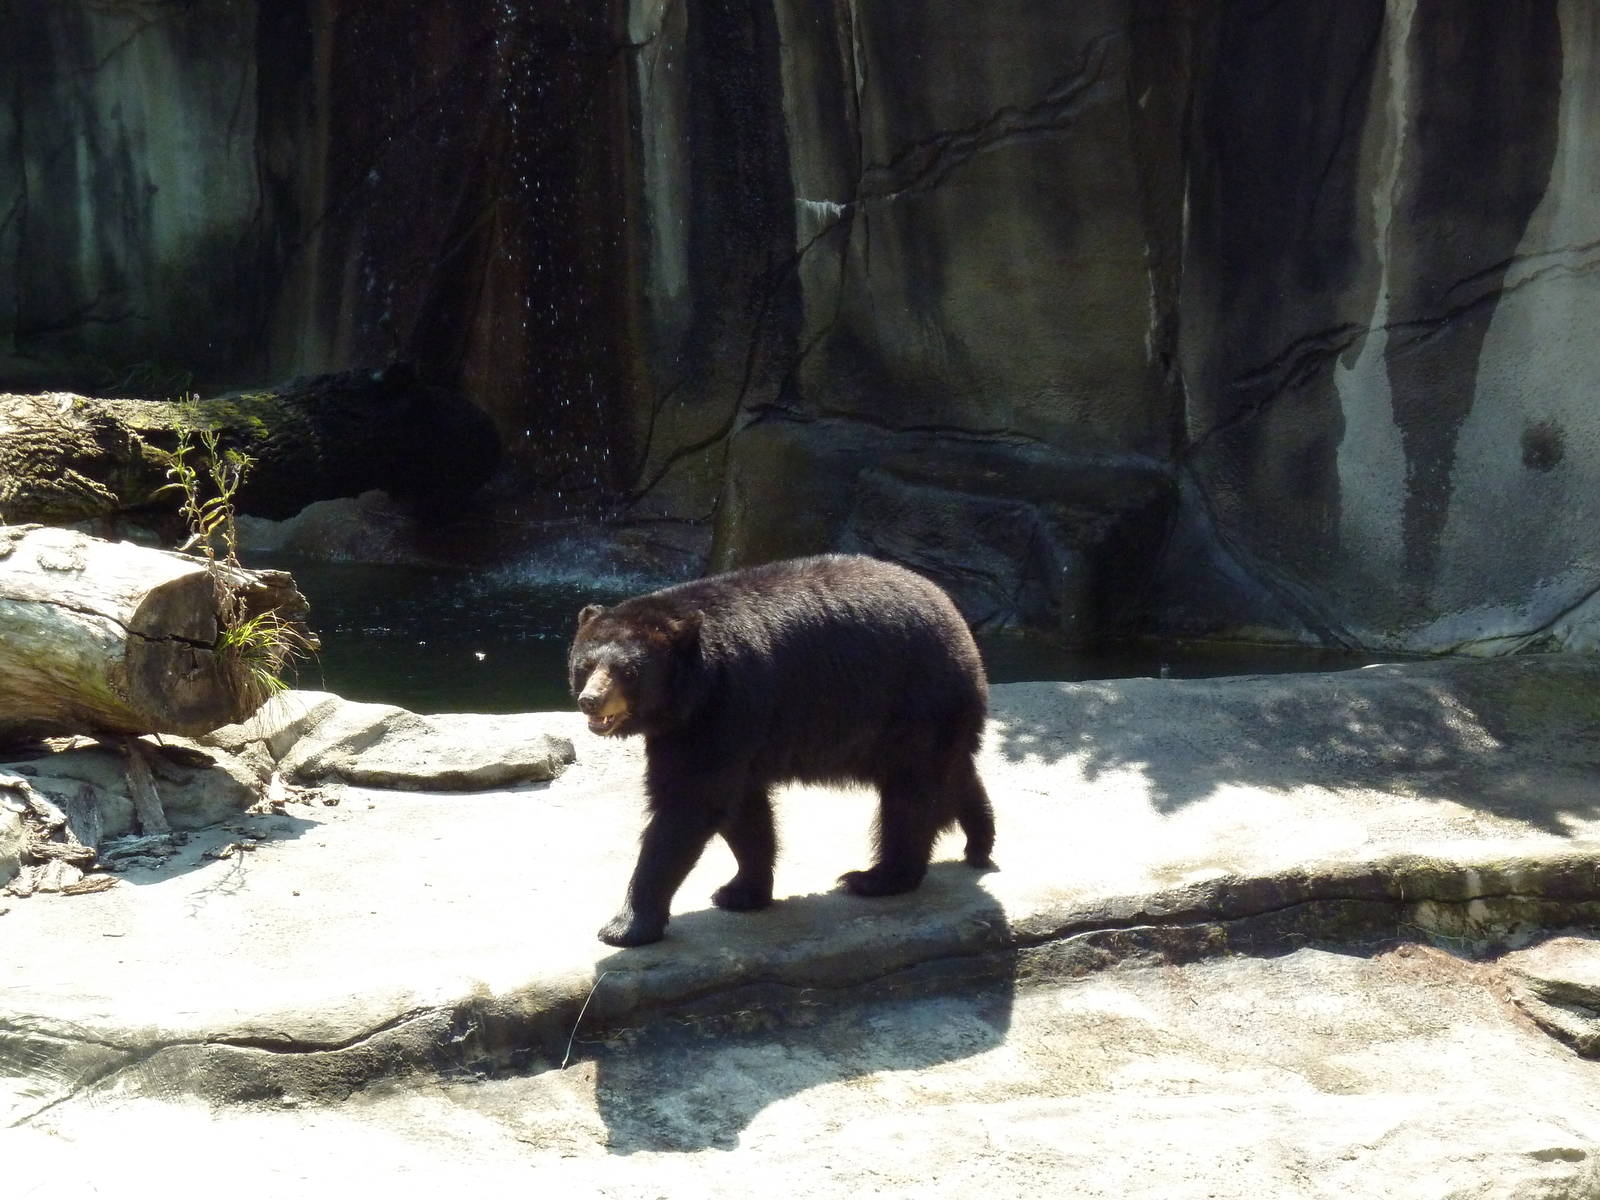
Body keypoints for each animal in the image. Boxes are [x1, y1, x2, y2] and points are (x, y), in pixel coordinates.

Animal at [568, 553, 995, 947]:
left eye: (628, 671)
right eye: (584, 665)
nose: (590, 700)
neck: (694, 688)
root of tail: (958, 621)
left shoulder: (726, 706)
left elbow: (689, 804)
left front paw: (625, 926)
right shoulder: (714, 727)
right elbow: (744, 810)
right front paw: (742, 890)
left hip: (914, 703)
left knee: (909, 797)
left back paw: (877, 877)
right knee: (952, 775)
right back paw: (979, 839)